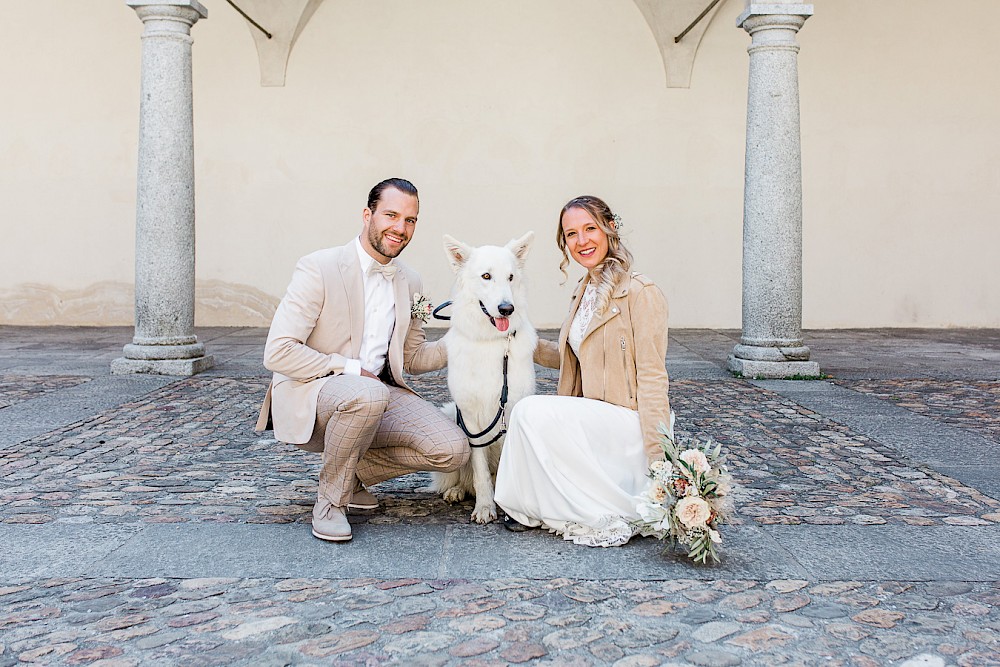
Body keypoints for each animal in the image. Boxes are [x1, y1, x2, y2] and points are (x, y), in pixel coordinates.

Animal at [430, 232, 540, 524]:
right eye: (486, 276)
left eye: (510, 277)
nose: (506, 309)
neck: (492, 342)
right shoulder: (470, 418)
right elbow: (479, 472)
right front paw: (485, 507)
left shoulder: (513, 412)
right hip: (450, 413)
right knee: (467, 478)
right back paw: (457, 490)